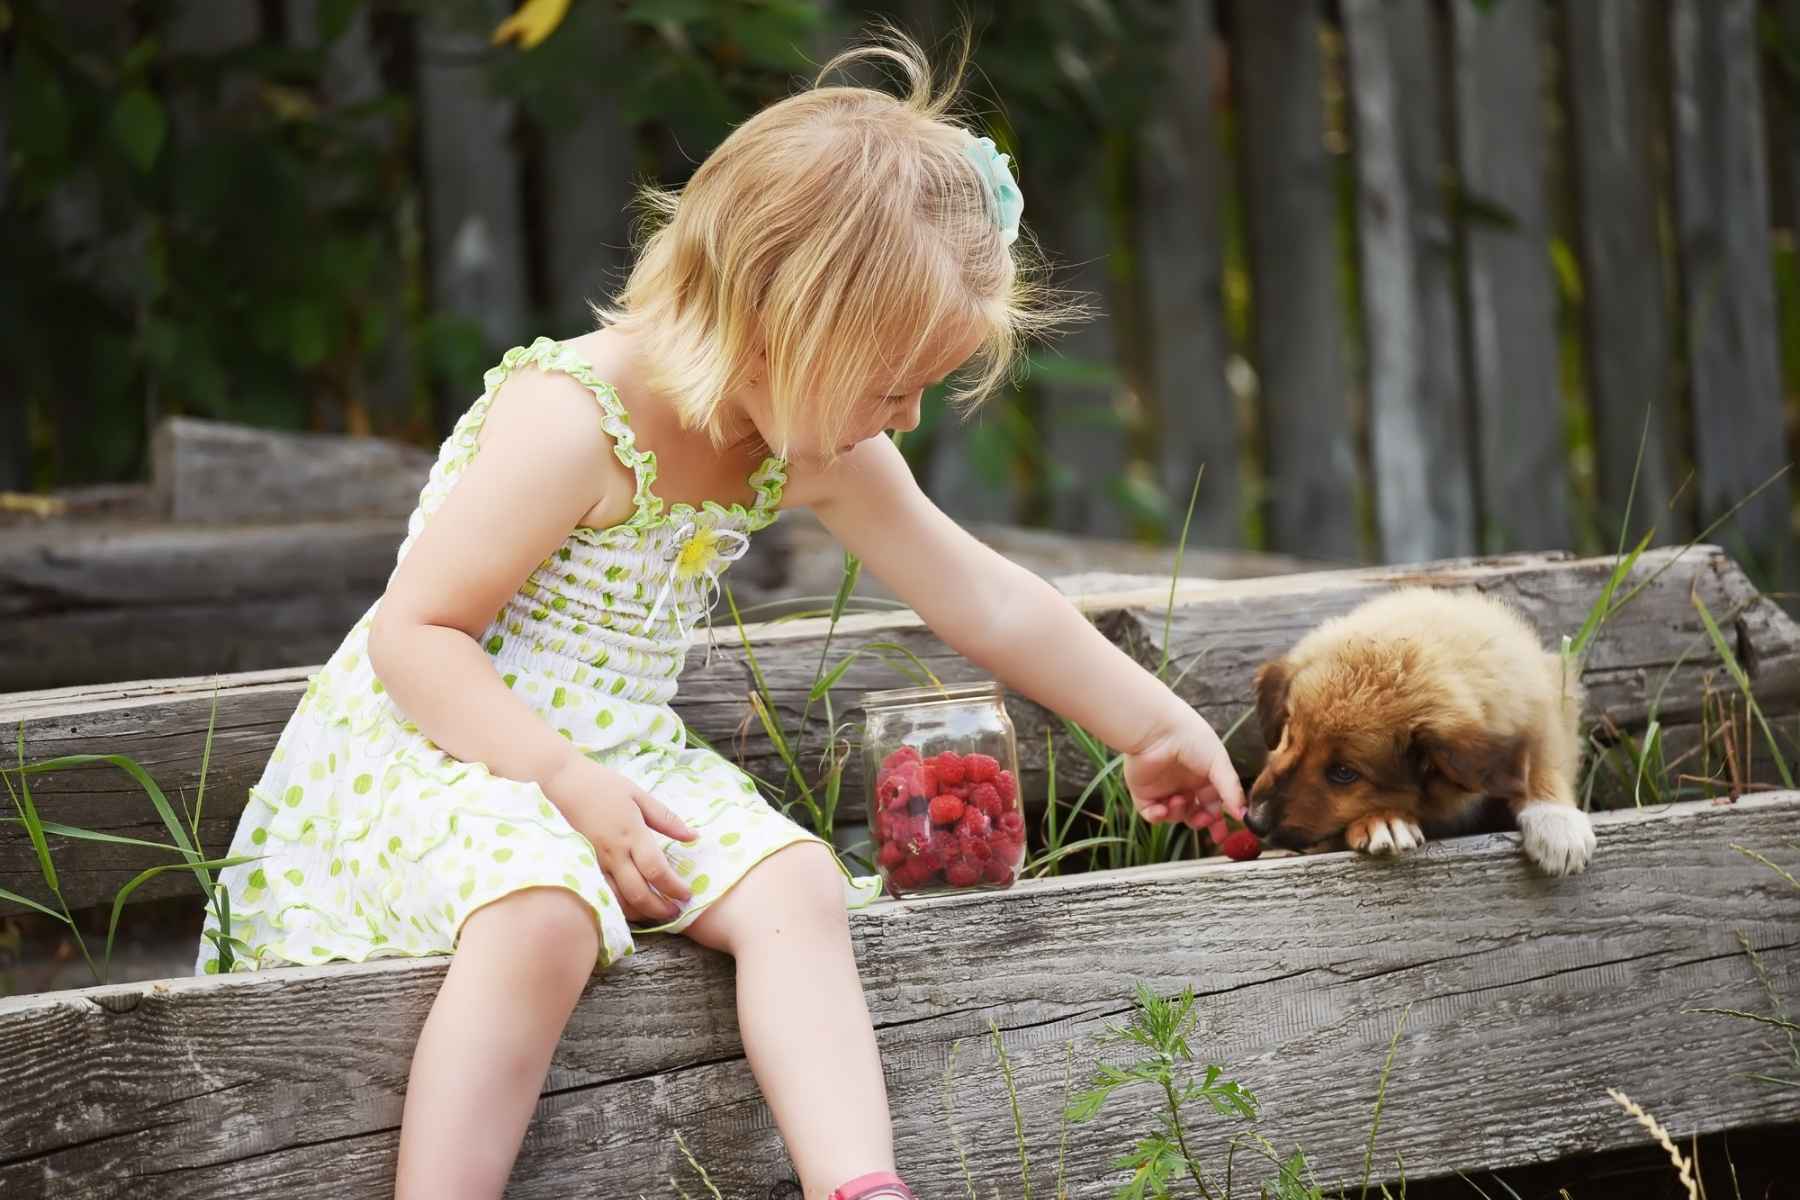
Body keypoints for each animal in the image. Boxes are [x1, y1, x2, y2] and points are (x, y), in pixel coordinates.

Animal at [1245, 590, 1598, 877]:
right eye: (1290, 738)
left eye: (1344, 773)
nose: (1253, 821)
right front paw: (1382, 820)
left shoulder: (1542, 708)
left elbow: (1540, 762)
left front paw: (1556, 821)